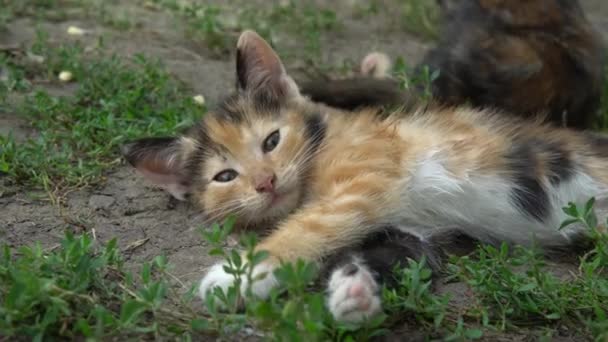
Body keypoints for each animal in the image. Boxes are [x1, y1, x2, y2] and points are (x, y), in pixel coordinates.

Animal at [123, 30, 608, 324]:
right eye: (225, 176)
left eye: (272, 140)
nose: (266, 182)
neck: (322, 145)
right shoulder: (410, 226)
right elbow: (396, 252)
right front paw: (353, 291)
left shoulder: (366, 180)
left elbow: (309, 226)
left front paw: (239, 275)